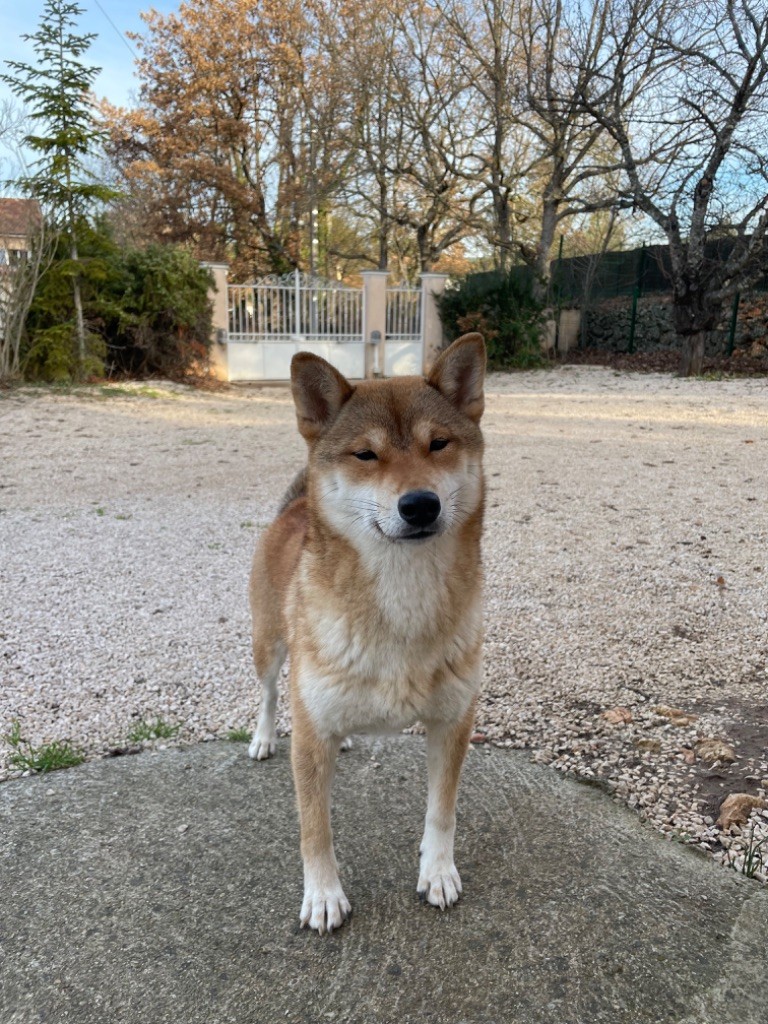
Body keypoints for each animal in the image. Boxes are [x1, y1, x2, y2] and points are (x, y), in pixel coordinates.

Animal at [247, 331, 487, 933]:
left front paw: (438, 871)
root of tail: (294, 509)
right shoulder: (309, 743)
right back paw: (262, 737)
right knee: (269, 694)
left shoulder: (452, 722)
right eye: (366, 455)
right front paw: (323, 894)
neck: (401, 602)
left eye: (439, 444)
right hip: (268, 647)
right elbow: (315, 828)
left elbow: (442, 811)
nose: (420, 504)